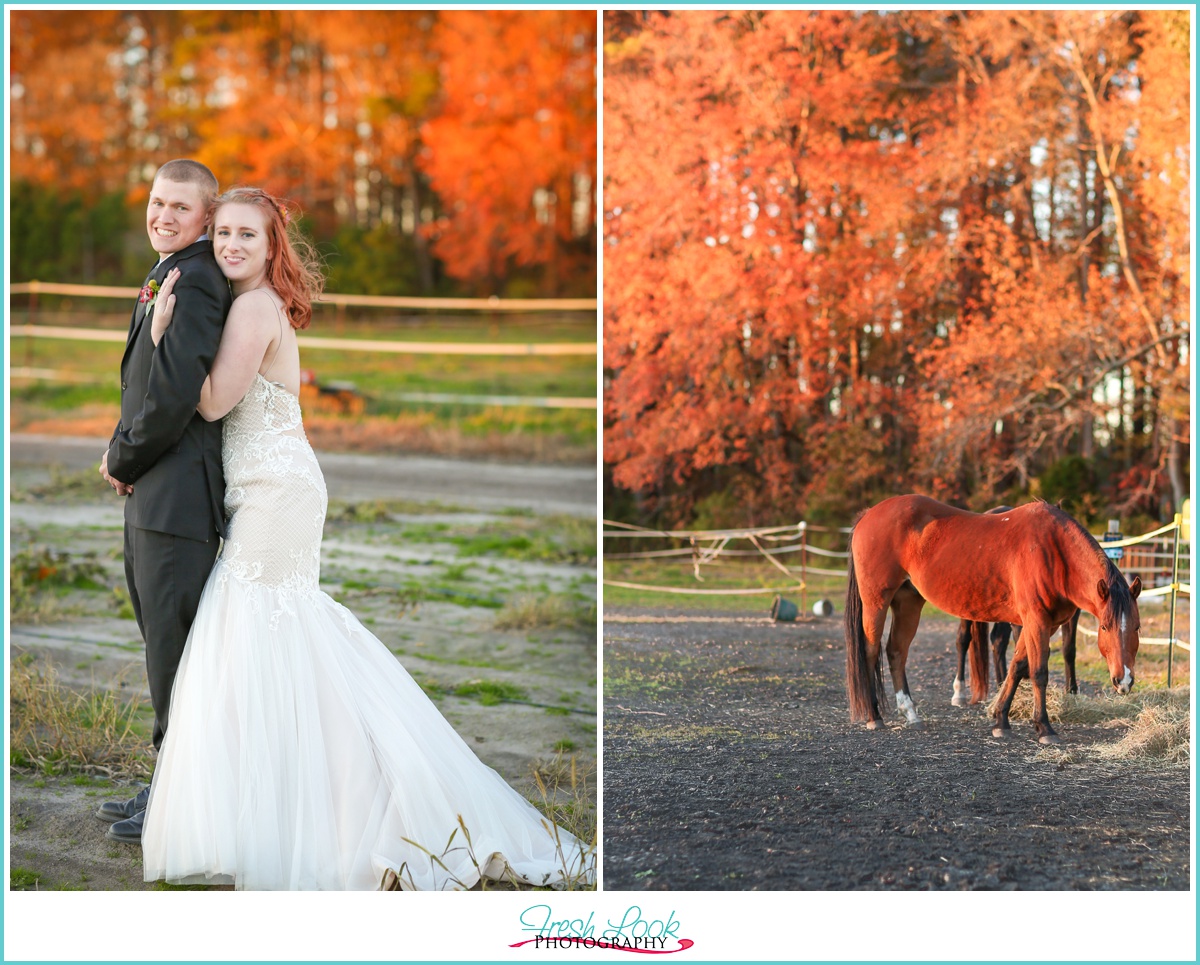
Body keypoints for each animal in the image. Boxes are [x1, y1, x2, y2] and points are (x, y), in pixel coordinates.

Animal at [844, 494, 1142, 744]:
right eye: (1105, 626)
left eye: (1137, 627)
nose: (1124, 681)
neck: (1053, 551)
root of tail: (869, 514)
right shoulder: (1036, 622)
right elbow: (1038, 672)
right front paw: (1044, 727)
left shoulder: (1039, 624)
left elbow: (1017, 667)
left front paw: (1000, 720)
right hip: (876, 602)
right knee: (870, 651)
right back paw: (874, 716)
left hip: (908, 602)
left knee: (896, 652)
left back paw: (910, 713)